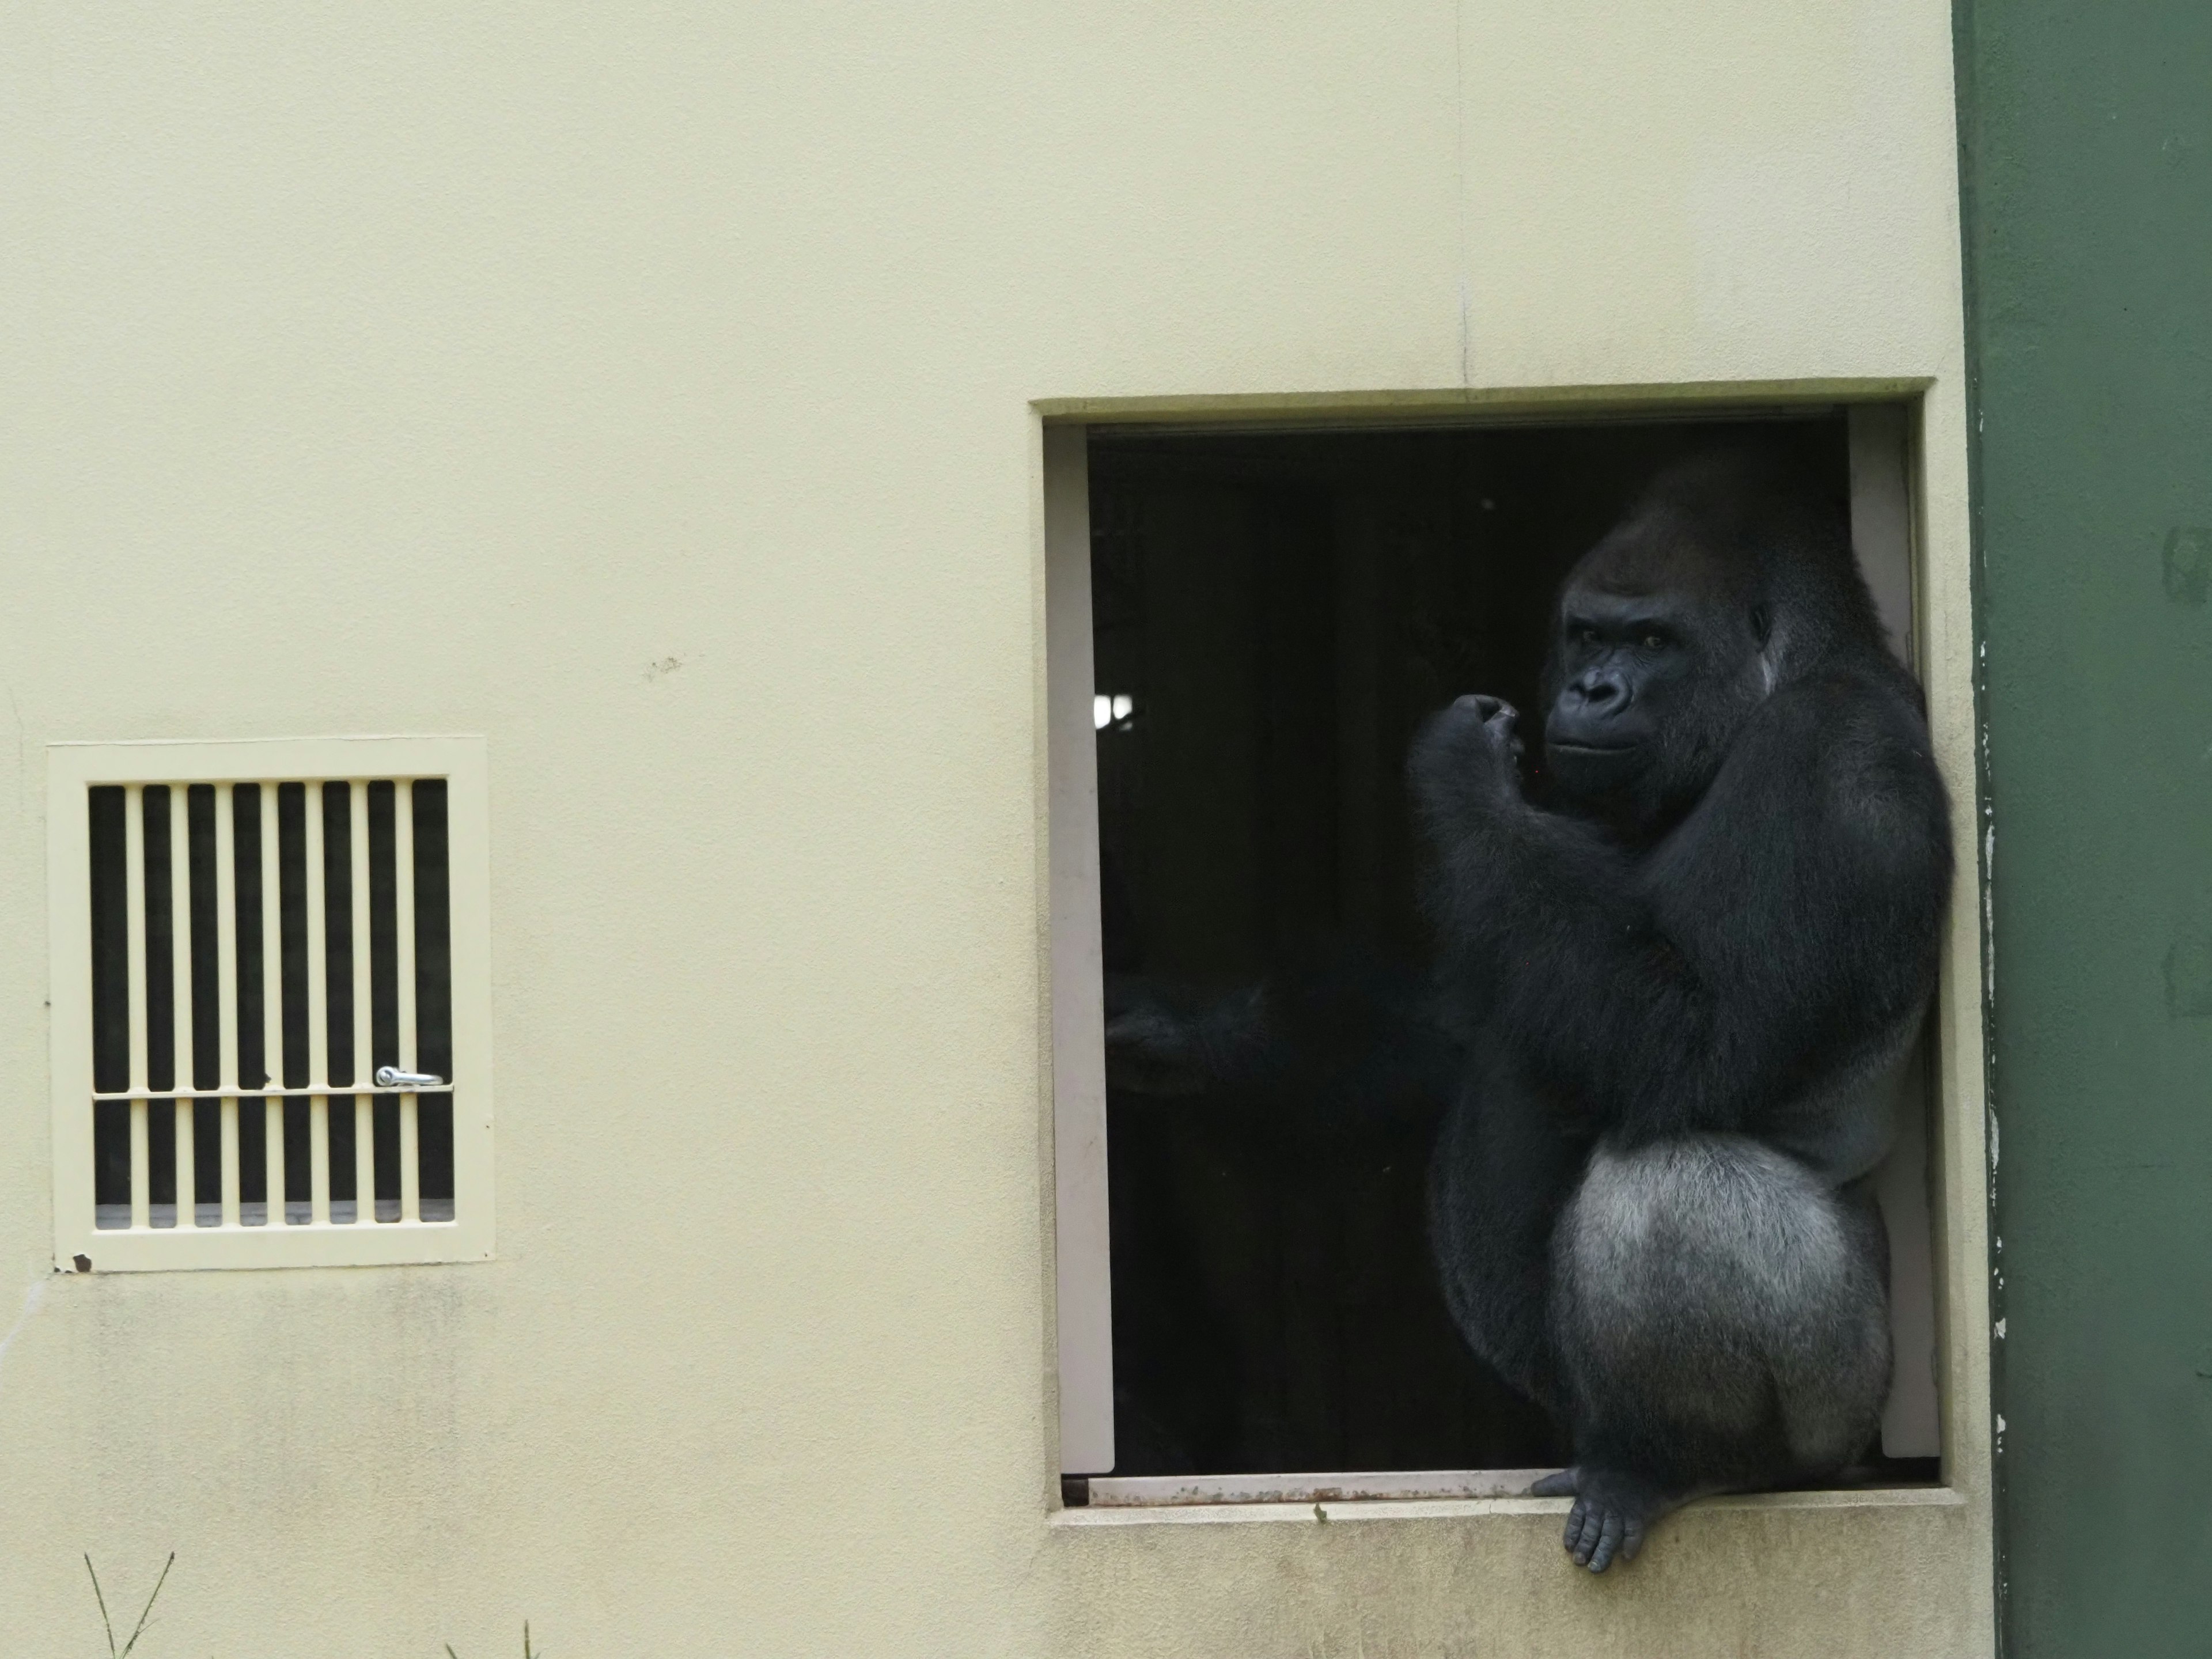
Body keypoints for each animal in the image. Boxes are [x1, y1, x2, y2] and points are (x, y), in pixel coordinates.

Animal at [1106, 456, 1955, 1575]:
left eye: (1655, 641)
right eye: (1589, 635)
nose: (1594, 691)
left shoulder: (1834, 762)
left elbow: (1697, 1043)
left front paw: (1461, 771)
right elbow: (1469, 1010)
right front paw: (1183, 1039)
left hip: (1847, 1408)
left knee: (1672, 1184)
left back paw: (1690, 1462)